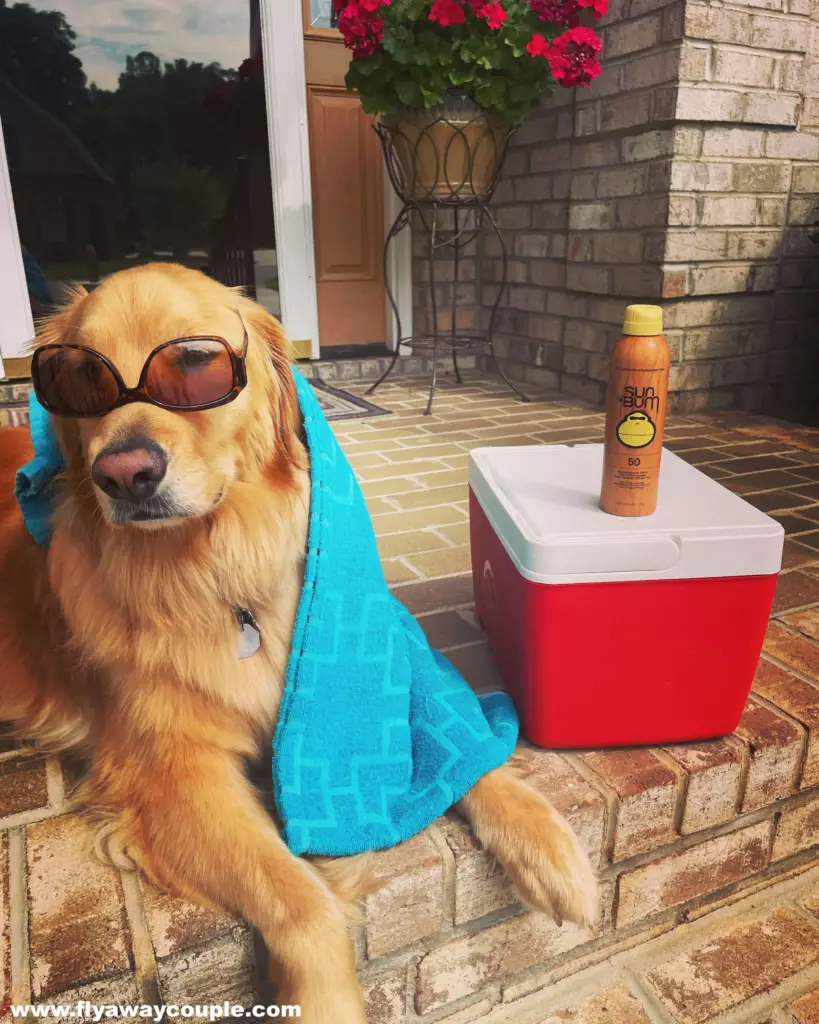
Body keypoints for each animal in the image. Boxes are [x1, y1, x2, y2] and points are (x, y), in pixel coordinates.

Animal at [0, 266, 593, 1024]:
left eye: (194, 362)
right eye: (77, 376)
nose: (124, 473)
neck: (216, 573)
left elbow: (468, 754)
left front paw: (553, 853)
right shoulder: (171, 770)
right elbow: (298, 895)